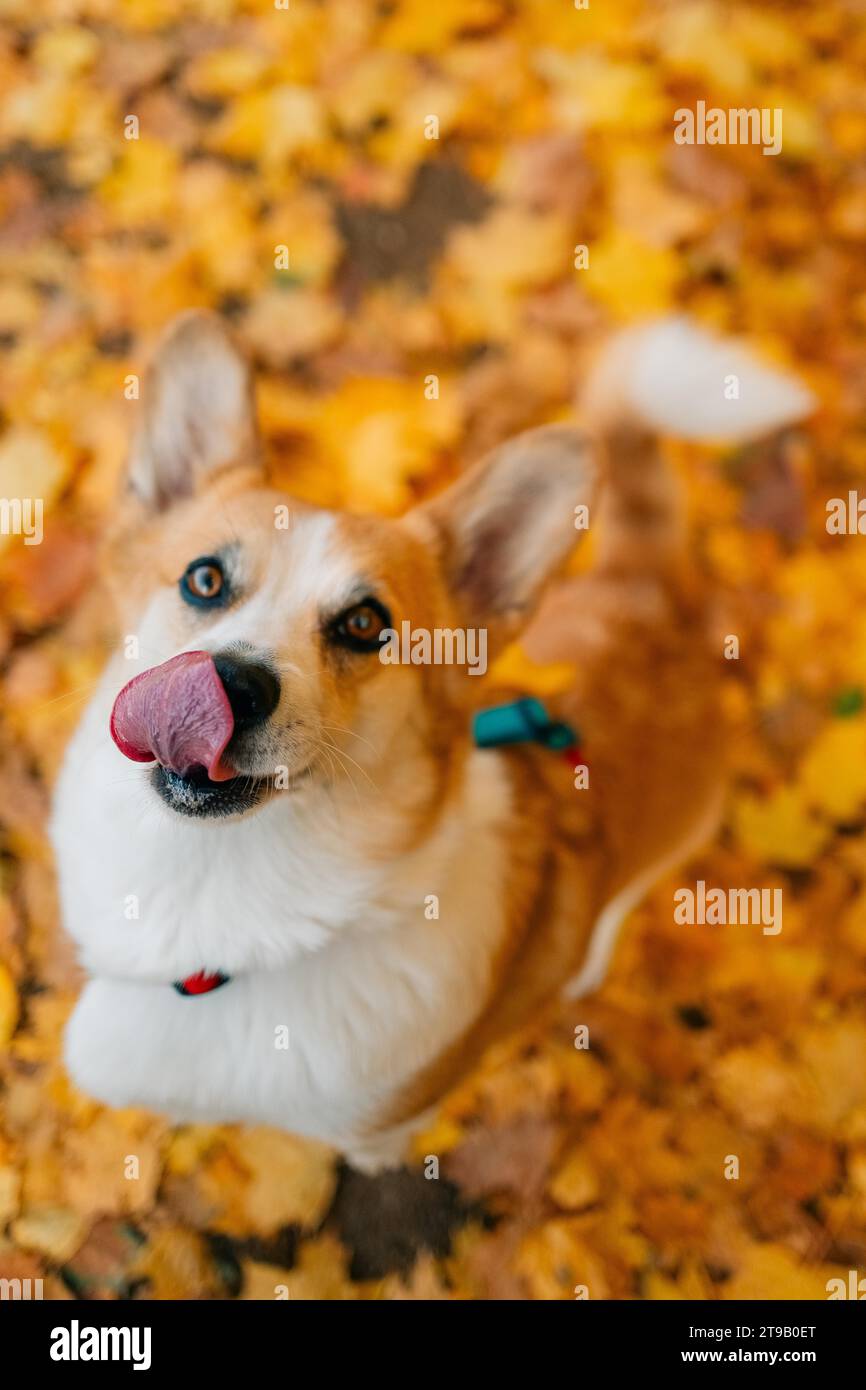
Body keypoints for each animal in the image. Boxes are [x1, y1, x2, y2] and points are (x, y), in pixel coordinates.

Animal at [50, 312, 811, 1173]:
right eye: (204, 580)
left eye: (364, 624)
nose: (232, 684)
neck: (228, 912)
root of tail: (650, 597)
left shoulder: (386, 1120)